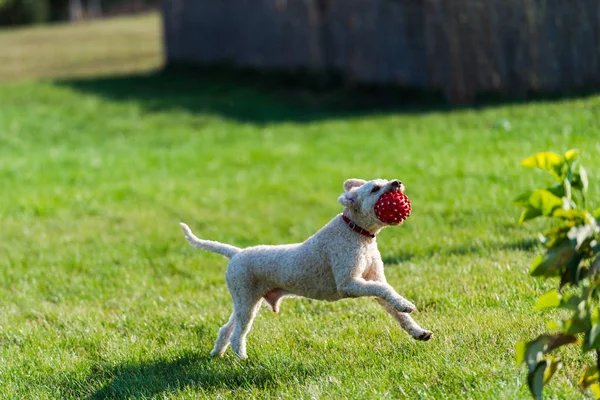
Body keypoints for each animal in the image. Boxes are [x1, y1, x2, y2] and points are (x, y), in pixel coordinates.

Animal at [180, 179, 434, 360]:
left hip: (248, 299)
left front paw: (418, 331)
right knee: (238, 332)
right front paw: (405, 303)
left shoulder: (372, 279)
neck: (356, 231)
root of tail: (235, 253)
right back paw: (240, 356)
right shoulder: (349, 284)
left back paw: (217, 353)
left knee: (226, 328)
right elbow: (384, 290)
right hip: (246, 299)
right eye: (375, 188)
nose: (397, 183)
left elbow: (395, 308)